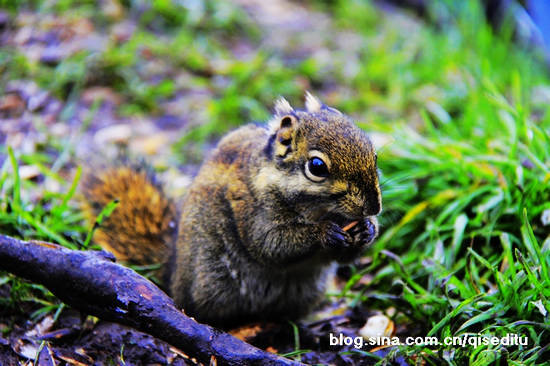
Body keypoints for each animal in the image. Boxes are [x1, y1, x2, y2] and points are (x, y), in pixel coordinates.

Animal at [81, 93, 384, 328]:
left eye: (374, 154)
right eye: (317, 167)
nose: (374, 206)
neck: (317, 210)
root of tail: (173, 275)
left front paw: (368, 229)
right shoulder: (251, 210)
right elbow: (271, 244)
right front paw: (324, 233)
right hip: (212, 282)